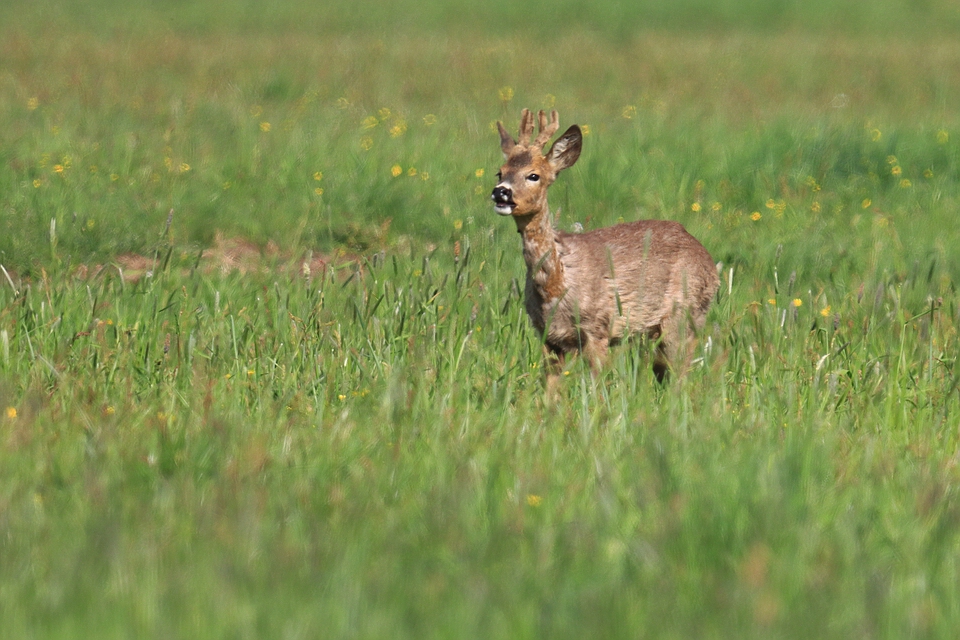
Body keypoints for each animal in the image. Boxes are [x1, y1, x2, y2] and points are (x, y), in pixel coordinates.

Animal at [492, 109, 716, 384]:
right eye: (500, 172)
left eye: (534, 175)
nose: (501, 192)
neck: (556, 286)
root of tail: (709, 260)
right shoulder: (547, 336)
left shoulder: (597, 327)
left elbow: (598, 385)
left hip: (686, 316)